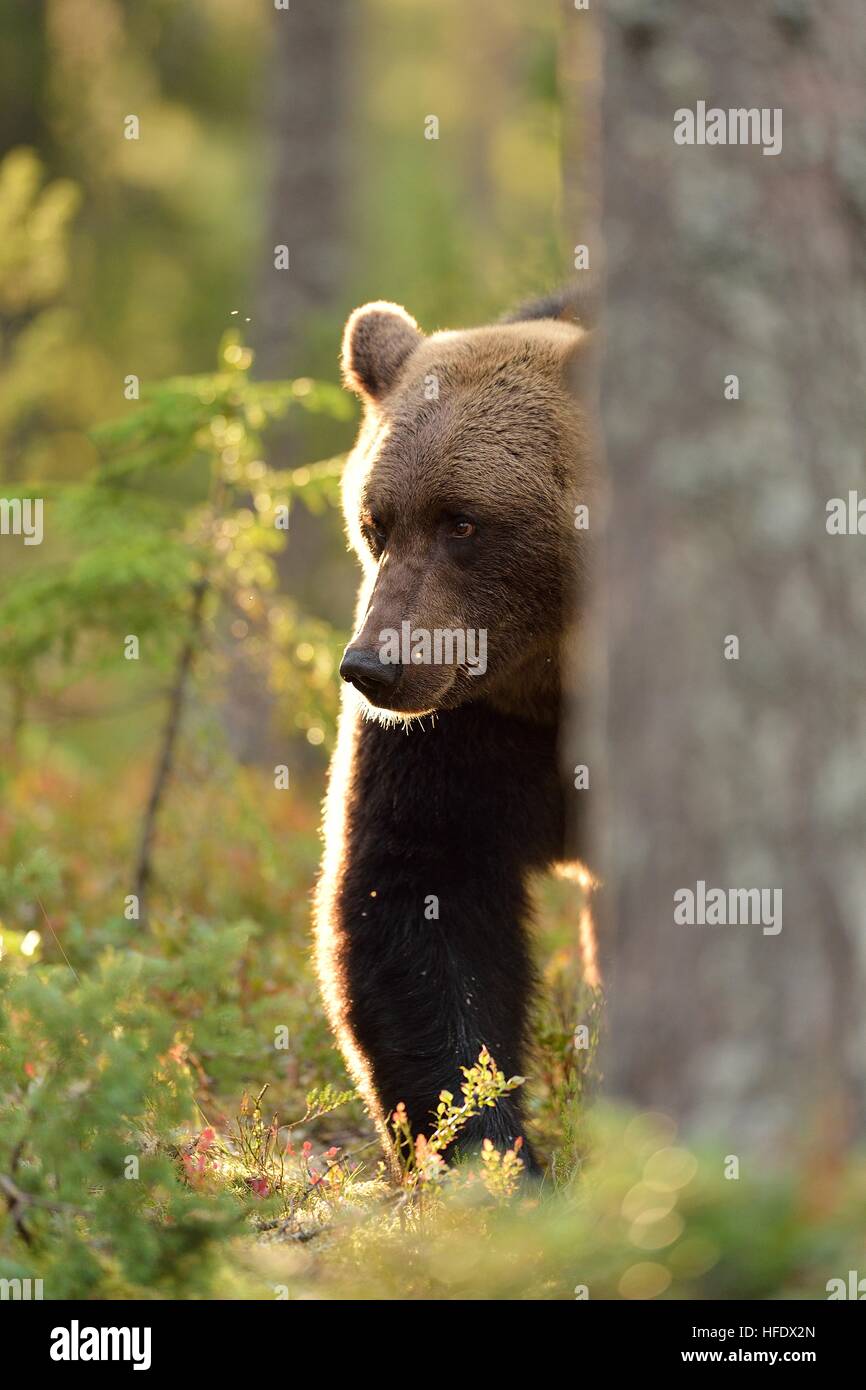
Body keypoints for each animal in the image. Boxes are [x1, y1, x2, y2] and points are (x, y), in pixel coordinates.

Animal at [313, 289, 595, 1174]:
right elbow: (415, 889)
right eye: (375, 522)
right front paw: (487, 1152)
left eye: (463, 522)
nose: (372, 666)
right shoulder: (462, 728)